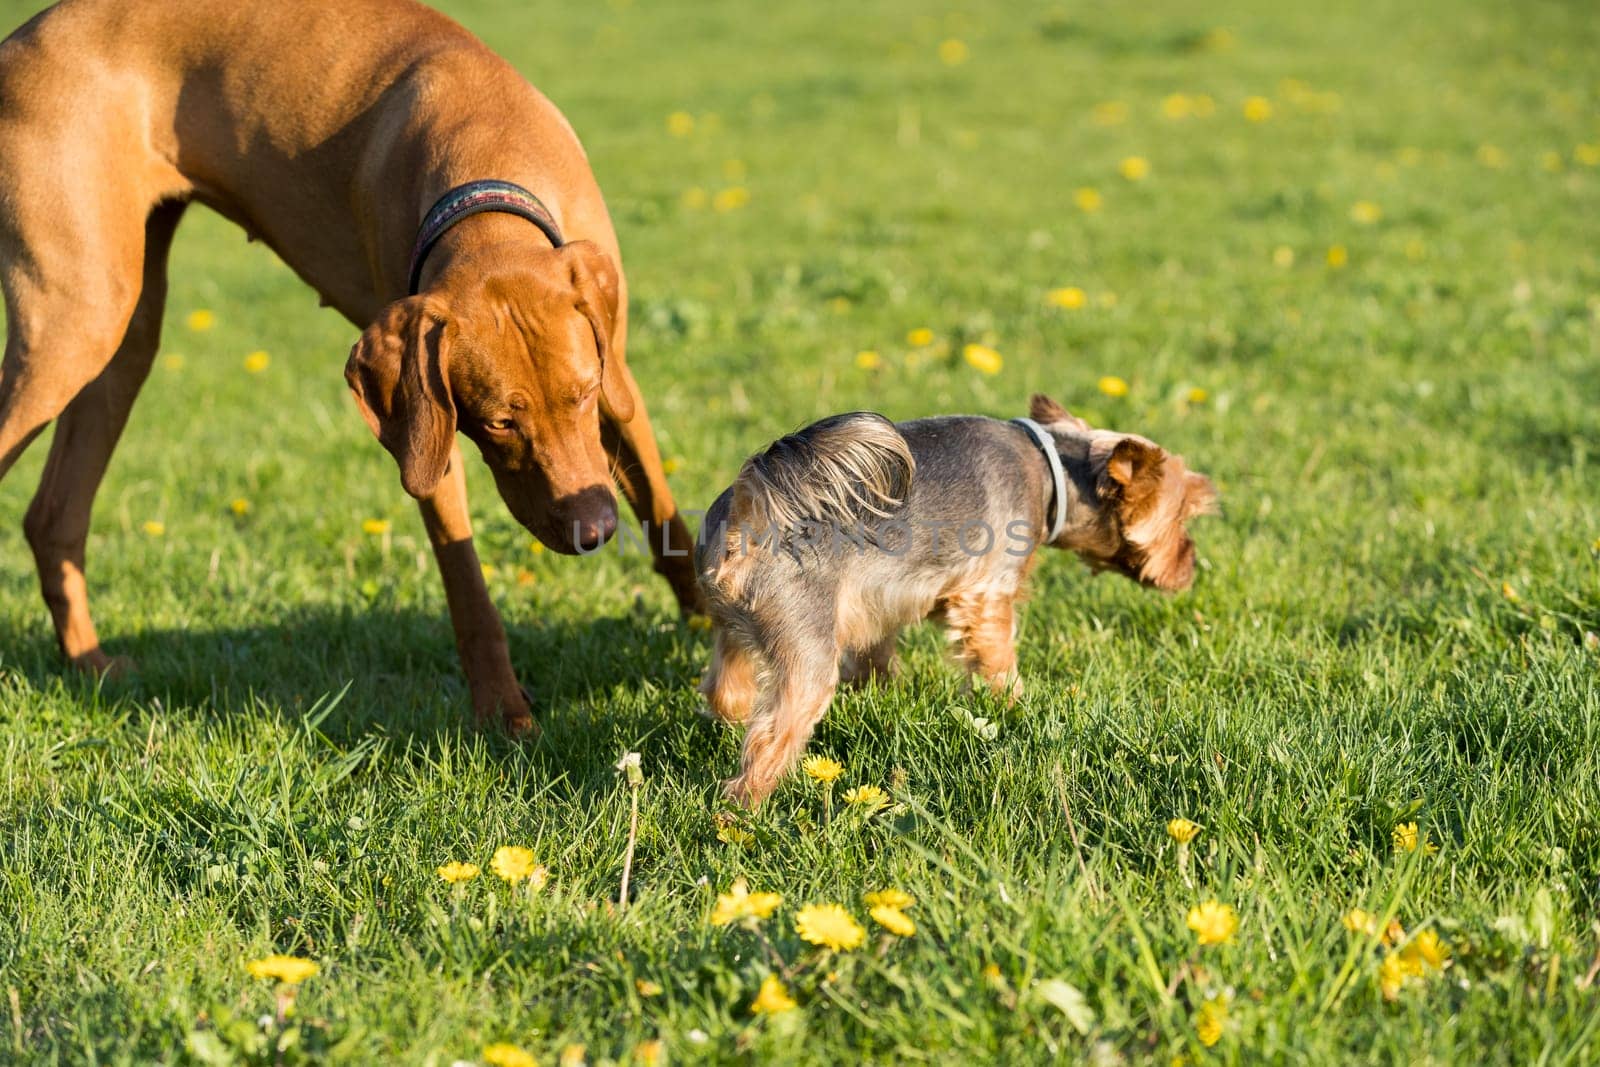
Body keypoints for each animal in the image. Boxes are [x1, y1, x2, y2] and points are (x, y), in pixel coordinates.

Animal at [0, 0, 700, 729]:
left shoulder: (616, 379)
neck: (485, 166)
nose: (596, 531)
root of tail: (17, 41)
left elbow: (664, 514)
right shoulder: (426, 430)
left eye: (583, 395)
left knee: (52, 516)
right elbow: (467, 586)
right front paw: (503, 712)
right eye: (499, 424)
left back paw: (91, 665)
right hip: (71, 325)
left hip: (120, 329)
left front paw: (708, 624)